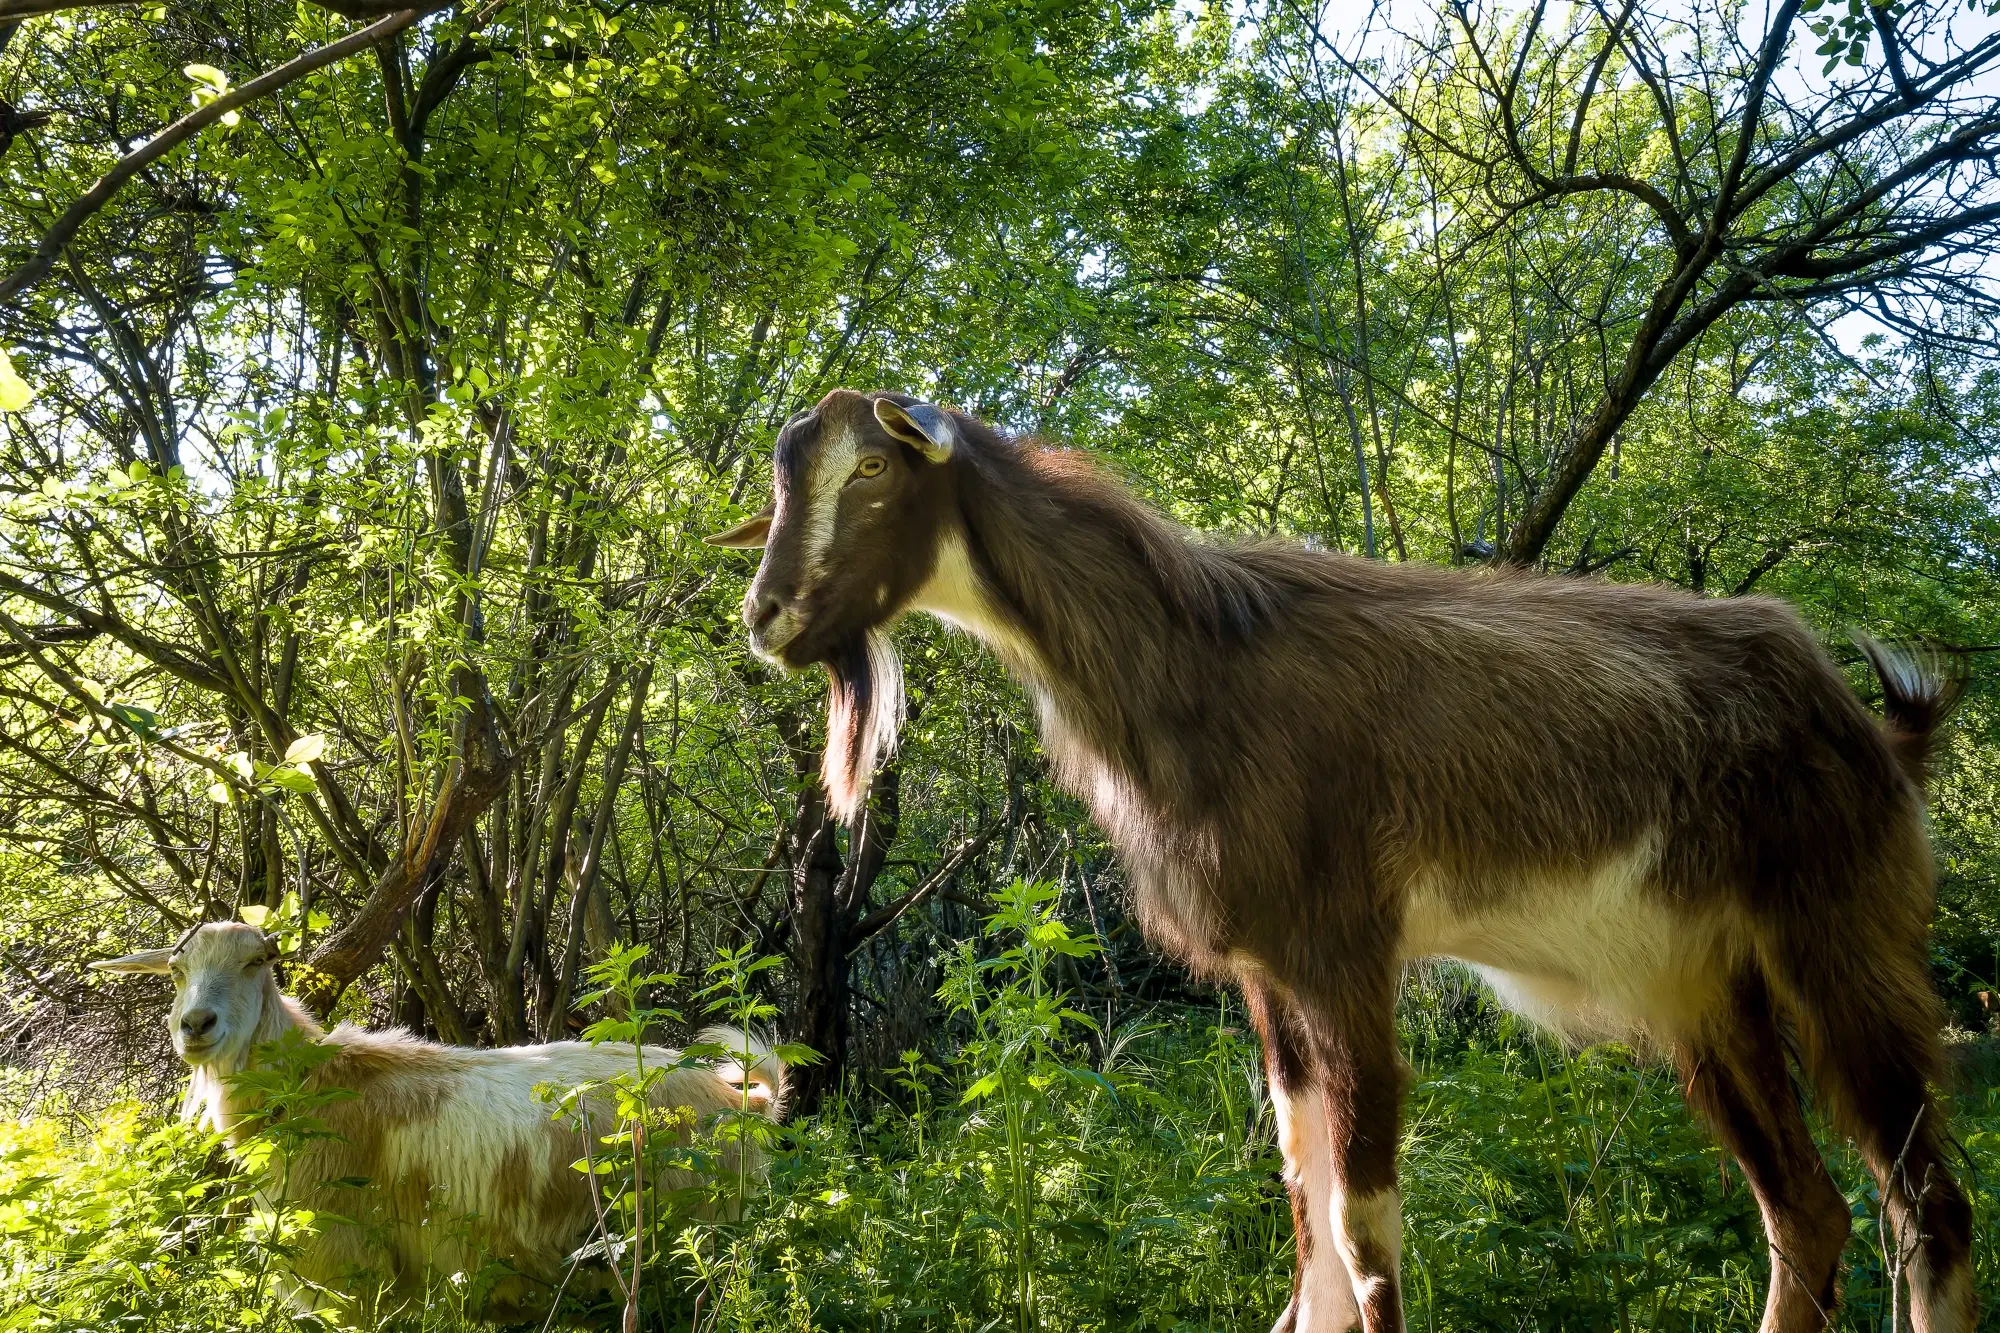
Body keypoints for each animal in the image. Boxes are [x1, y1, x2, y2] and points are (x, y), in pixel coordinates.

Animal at [95, 924, 780, 1320]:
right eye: (177, 972)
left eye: (254, 963)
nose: (196, 1025)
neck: (315, 1089)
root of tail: (742, 1100)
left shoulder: (349, 1272)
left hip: (697, 1232)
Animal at [712, 390, 1976, 1328]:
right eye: (781, 484)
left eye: (873, 472)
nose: (766, 619)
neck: (1194, 666)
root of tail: (1869, 730)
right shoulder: (1270, 977)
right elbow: (1306, 1218)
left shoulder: (1345, 952)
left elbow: (1363, 1242)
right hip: (1700, 987)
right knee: (1806, 1214)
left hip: (1838, 940)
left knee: (1926, 1205)